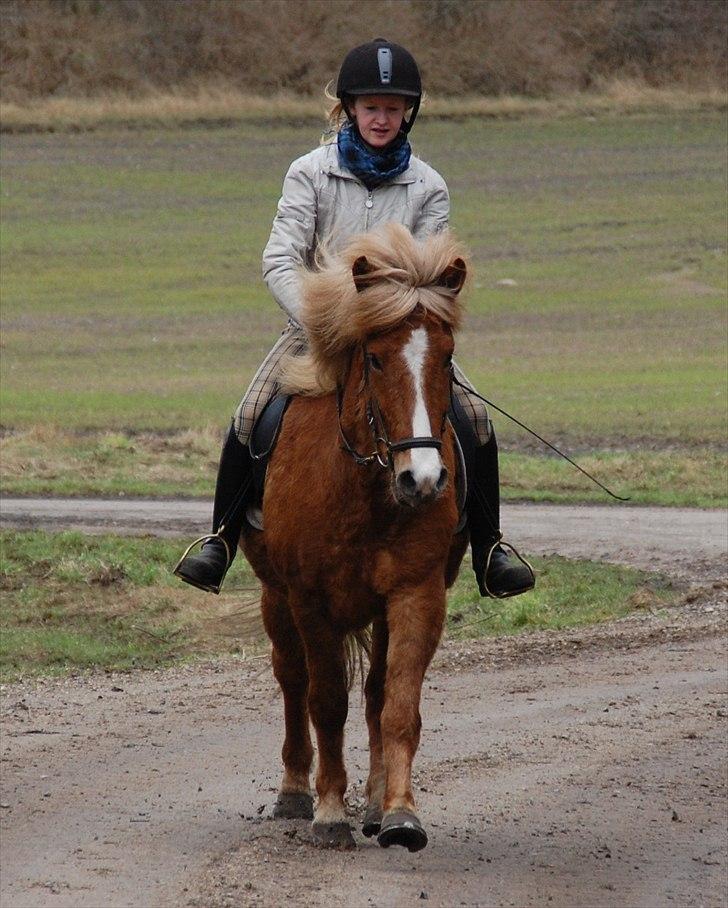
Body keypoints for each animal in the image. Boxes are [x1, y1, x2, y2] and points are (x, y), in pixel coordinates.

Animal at [242, 222, 470, 852]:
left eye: (447, 357)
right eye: (373, 357)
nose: (423, 480)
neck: (364, 491)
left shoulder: (417, 594)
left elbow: (396, 704)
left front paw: (398, 813)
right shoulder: (310, 599)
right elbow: (326, 702)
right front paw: (327, 812)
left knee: (372, 693)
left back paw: (369, 803)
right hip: (275, 596)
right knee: (292, 679)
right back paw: (295, 791)